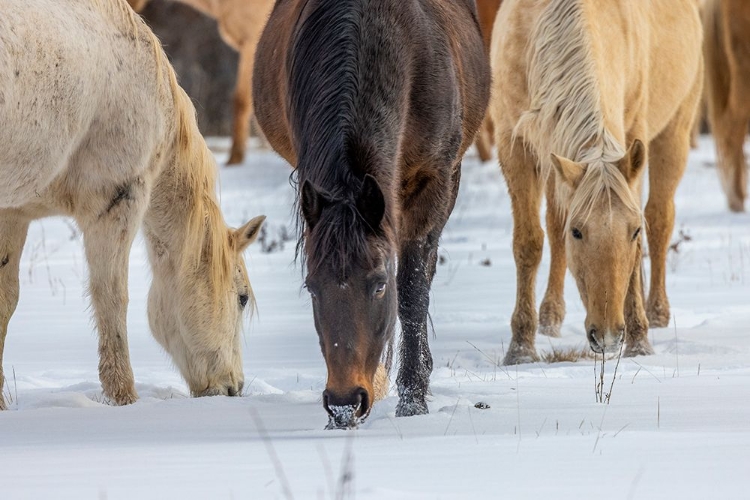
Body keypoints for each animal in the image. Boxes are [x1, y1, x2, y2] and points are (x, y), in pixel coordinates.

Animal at [256, 0, 490, 430]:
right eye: (311, 288)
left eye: (379, 285)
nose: (344, 403)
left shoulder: (434, 180)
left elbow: (413, 291)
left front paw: (413, 401)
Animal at [494, 0, 704, 366]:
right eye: (578, 232)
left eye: (634, 231)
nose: (606, 336)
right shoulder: (515, 145)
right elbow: (529, 243)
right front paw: (521, 348)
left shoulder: (633, 135)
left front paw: (639, 341)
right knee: (554, 227)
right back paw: (550, 317)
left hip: (675, 131)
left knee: (661, 219)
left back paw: (657, 312)